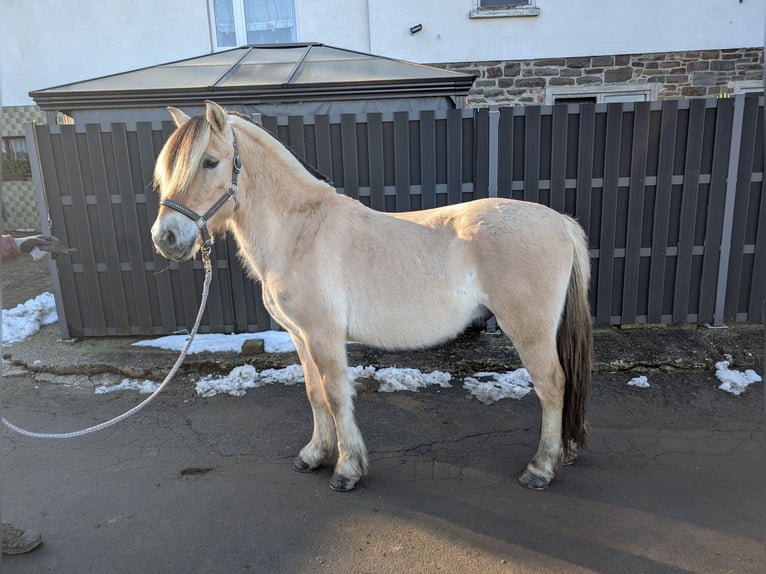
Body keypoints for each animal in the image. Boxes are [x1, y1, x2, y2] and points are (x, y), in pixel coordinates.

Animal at [150, 101, 592, 492]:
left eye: (210, 162)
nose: (165, 237)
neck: (299, 231)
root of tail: (559, 221)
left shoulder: (324, 336)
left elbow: (334, 394)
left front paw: (346, 470)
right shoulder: (300, 336)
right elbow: (313, 393)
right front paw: (314, 455)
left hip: (529, 331)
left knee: (552, 384)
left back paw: (540, 469)